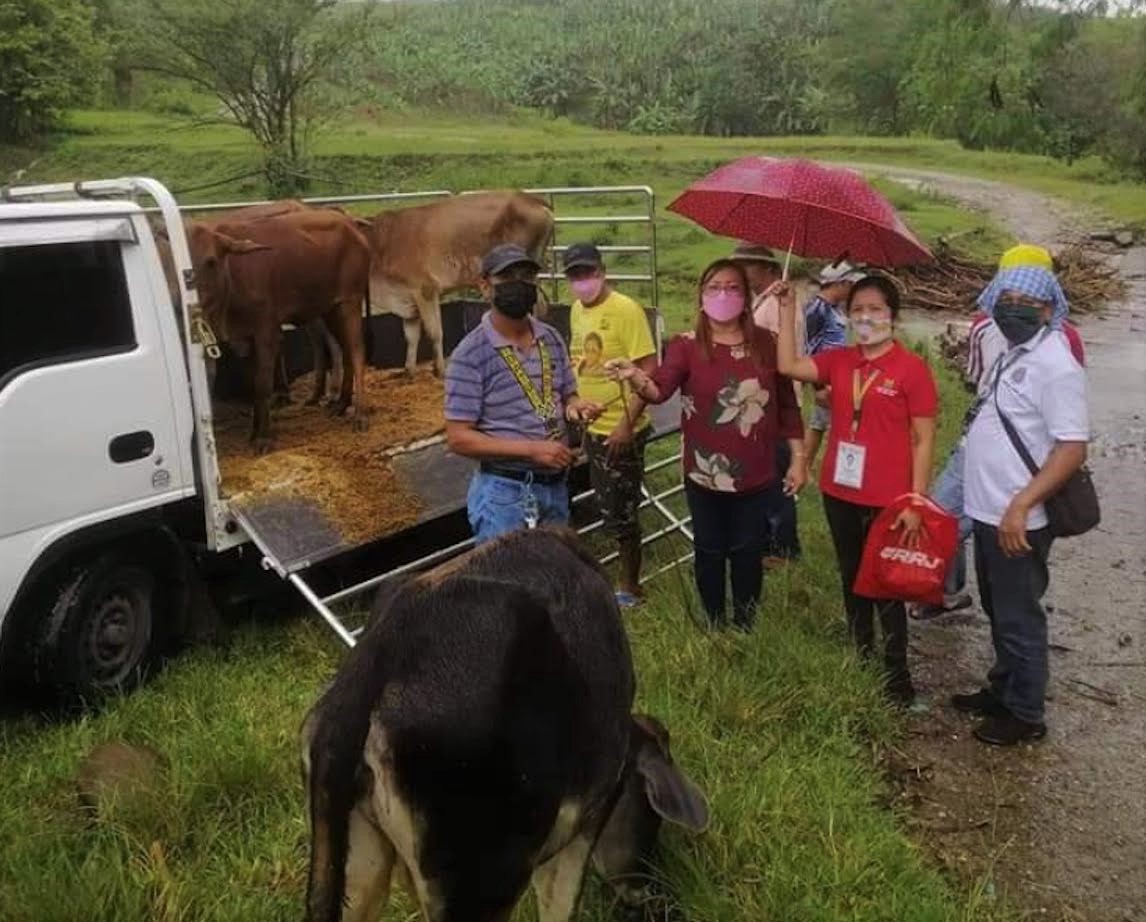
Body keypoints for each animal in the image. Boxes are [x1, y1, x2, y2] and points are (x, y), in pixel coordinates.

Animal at [185, 208, 369, 453]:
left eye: (211, 261)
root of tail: (348, 221)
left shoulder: (266, 331)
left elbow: (263, 384)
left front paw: (264, 437)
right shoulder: (245, 337)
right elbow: (253, 384)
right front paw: (254, 432)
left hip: (349, 302)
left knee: (357, 352)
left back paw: (360, 415)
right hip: (330, 308)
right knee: (346, 351)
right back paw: (341, 403)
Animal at [300, 524, 705, 920]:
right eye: (651, 819)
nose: (645, 894)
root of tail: (374, 664)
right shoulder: (585, 823)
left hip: (355, 870)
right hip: (487, 880)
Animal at [362, 190, 550, 377]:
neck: (381, 244)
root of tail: (530, 198)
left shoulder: (426, 290)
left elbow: (434, 332)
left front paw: (439, 370)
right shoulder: (407, 300)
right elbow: (411, 336)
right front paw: (409, 371)